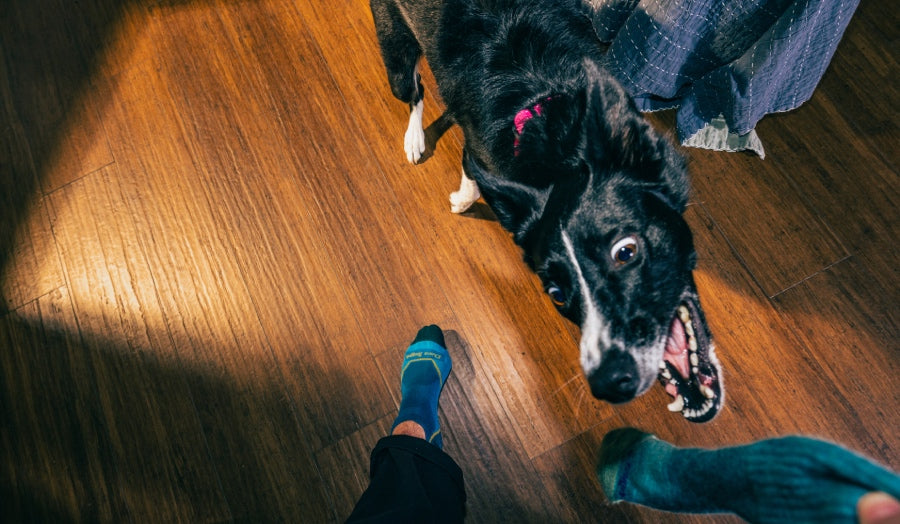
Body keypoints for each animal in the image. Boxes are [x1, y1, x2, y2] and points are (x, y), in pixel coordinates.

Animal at [370, 0, 720, 422]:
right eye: (555, 292)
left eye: (627, 251)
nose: (609, 381)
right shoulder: (481, 152)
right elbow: (472, 173)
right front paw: (464, 199)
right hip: (395, 52)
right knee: (415, 89)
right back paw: (415, 137)